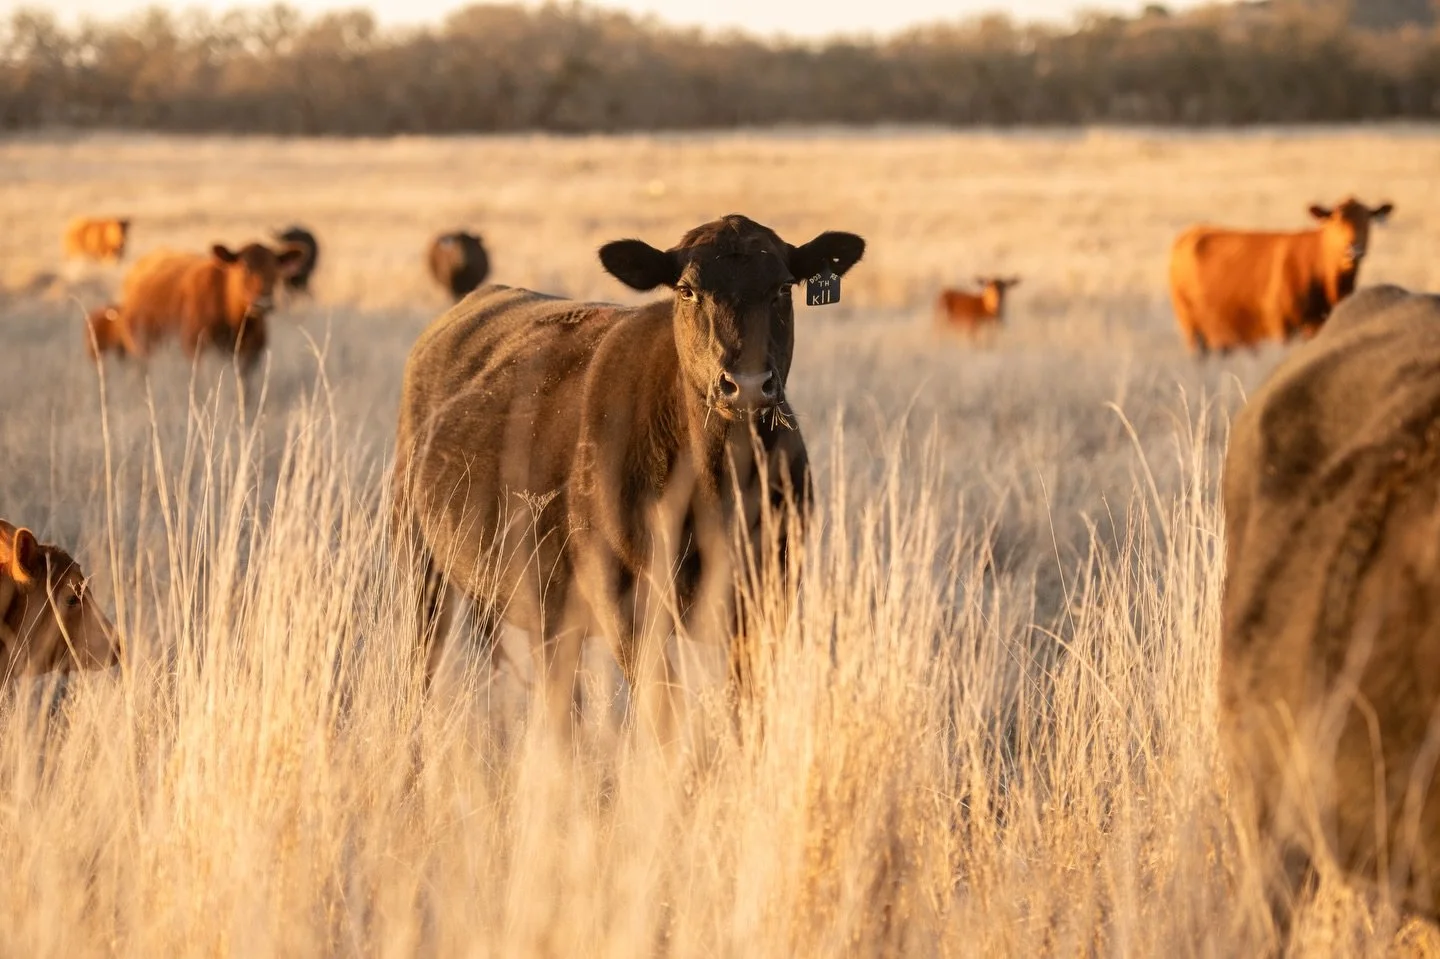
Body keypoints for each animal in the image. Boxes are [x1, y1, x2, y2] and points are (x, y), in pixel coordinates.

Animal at [108, 242, 305, 380]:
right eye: (244, 268)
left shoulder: (251, 357)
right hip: (141, 349)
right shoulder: (198, 351)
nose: (262, 303)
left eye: (275, 270)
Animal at [395, 214, 864, 742]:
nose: (744, 385)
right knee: (425, 659)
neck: (717, 487)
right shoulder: (626, 608)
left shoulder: (768, 600)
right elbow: (664, 714)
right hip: (418, 561)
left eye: (783, 287)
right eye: (686, 290)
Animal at [1169, 197, 1393, 356]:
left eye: (1368, 221)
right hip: (1191, 326)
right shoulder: (1281, 326)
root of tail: (1191, 233)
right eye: (1336, 221)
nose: (1353, 250)